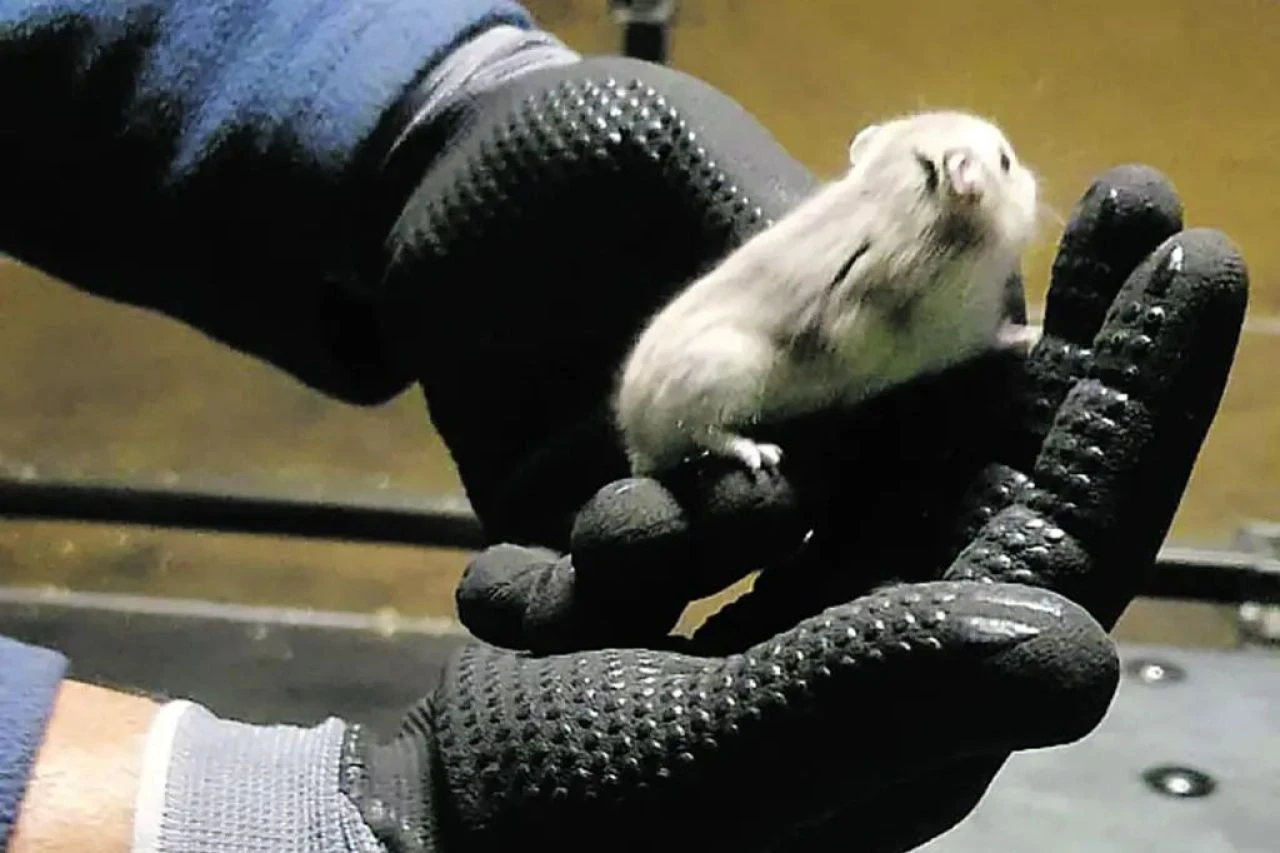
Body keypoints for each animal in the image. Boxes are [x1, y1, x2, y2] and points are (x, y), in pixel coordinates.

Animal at [613, 109, 1042, 477]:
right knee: (705, 432)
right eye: (1006, 162)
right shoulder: (964, 328)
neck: (901, 200)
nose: (1036, 183)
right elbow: (998, 336)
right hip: (728, 372)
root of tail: (637, 443)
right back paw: (760, 453)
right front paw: (1033, 334)